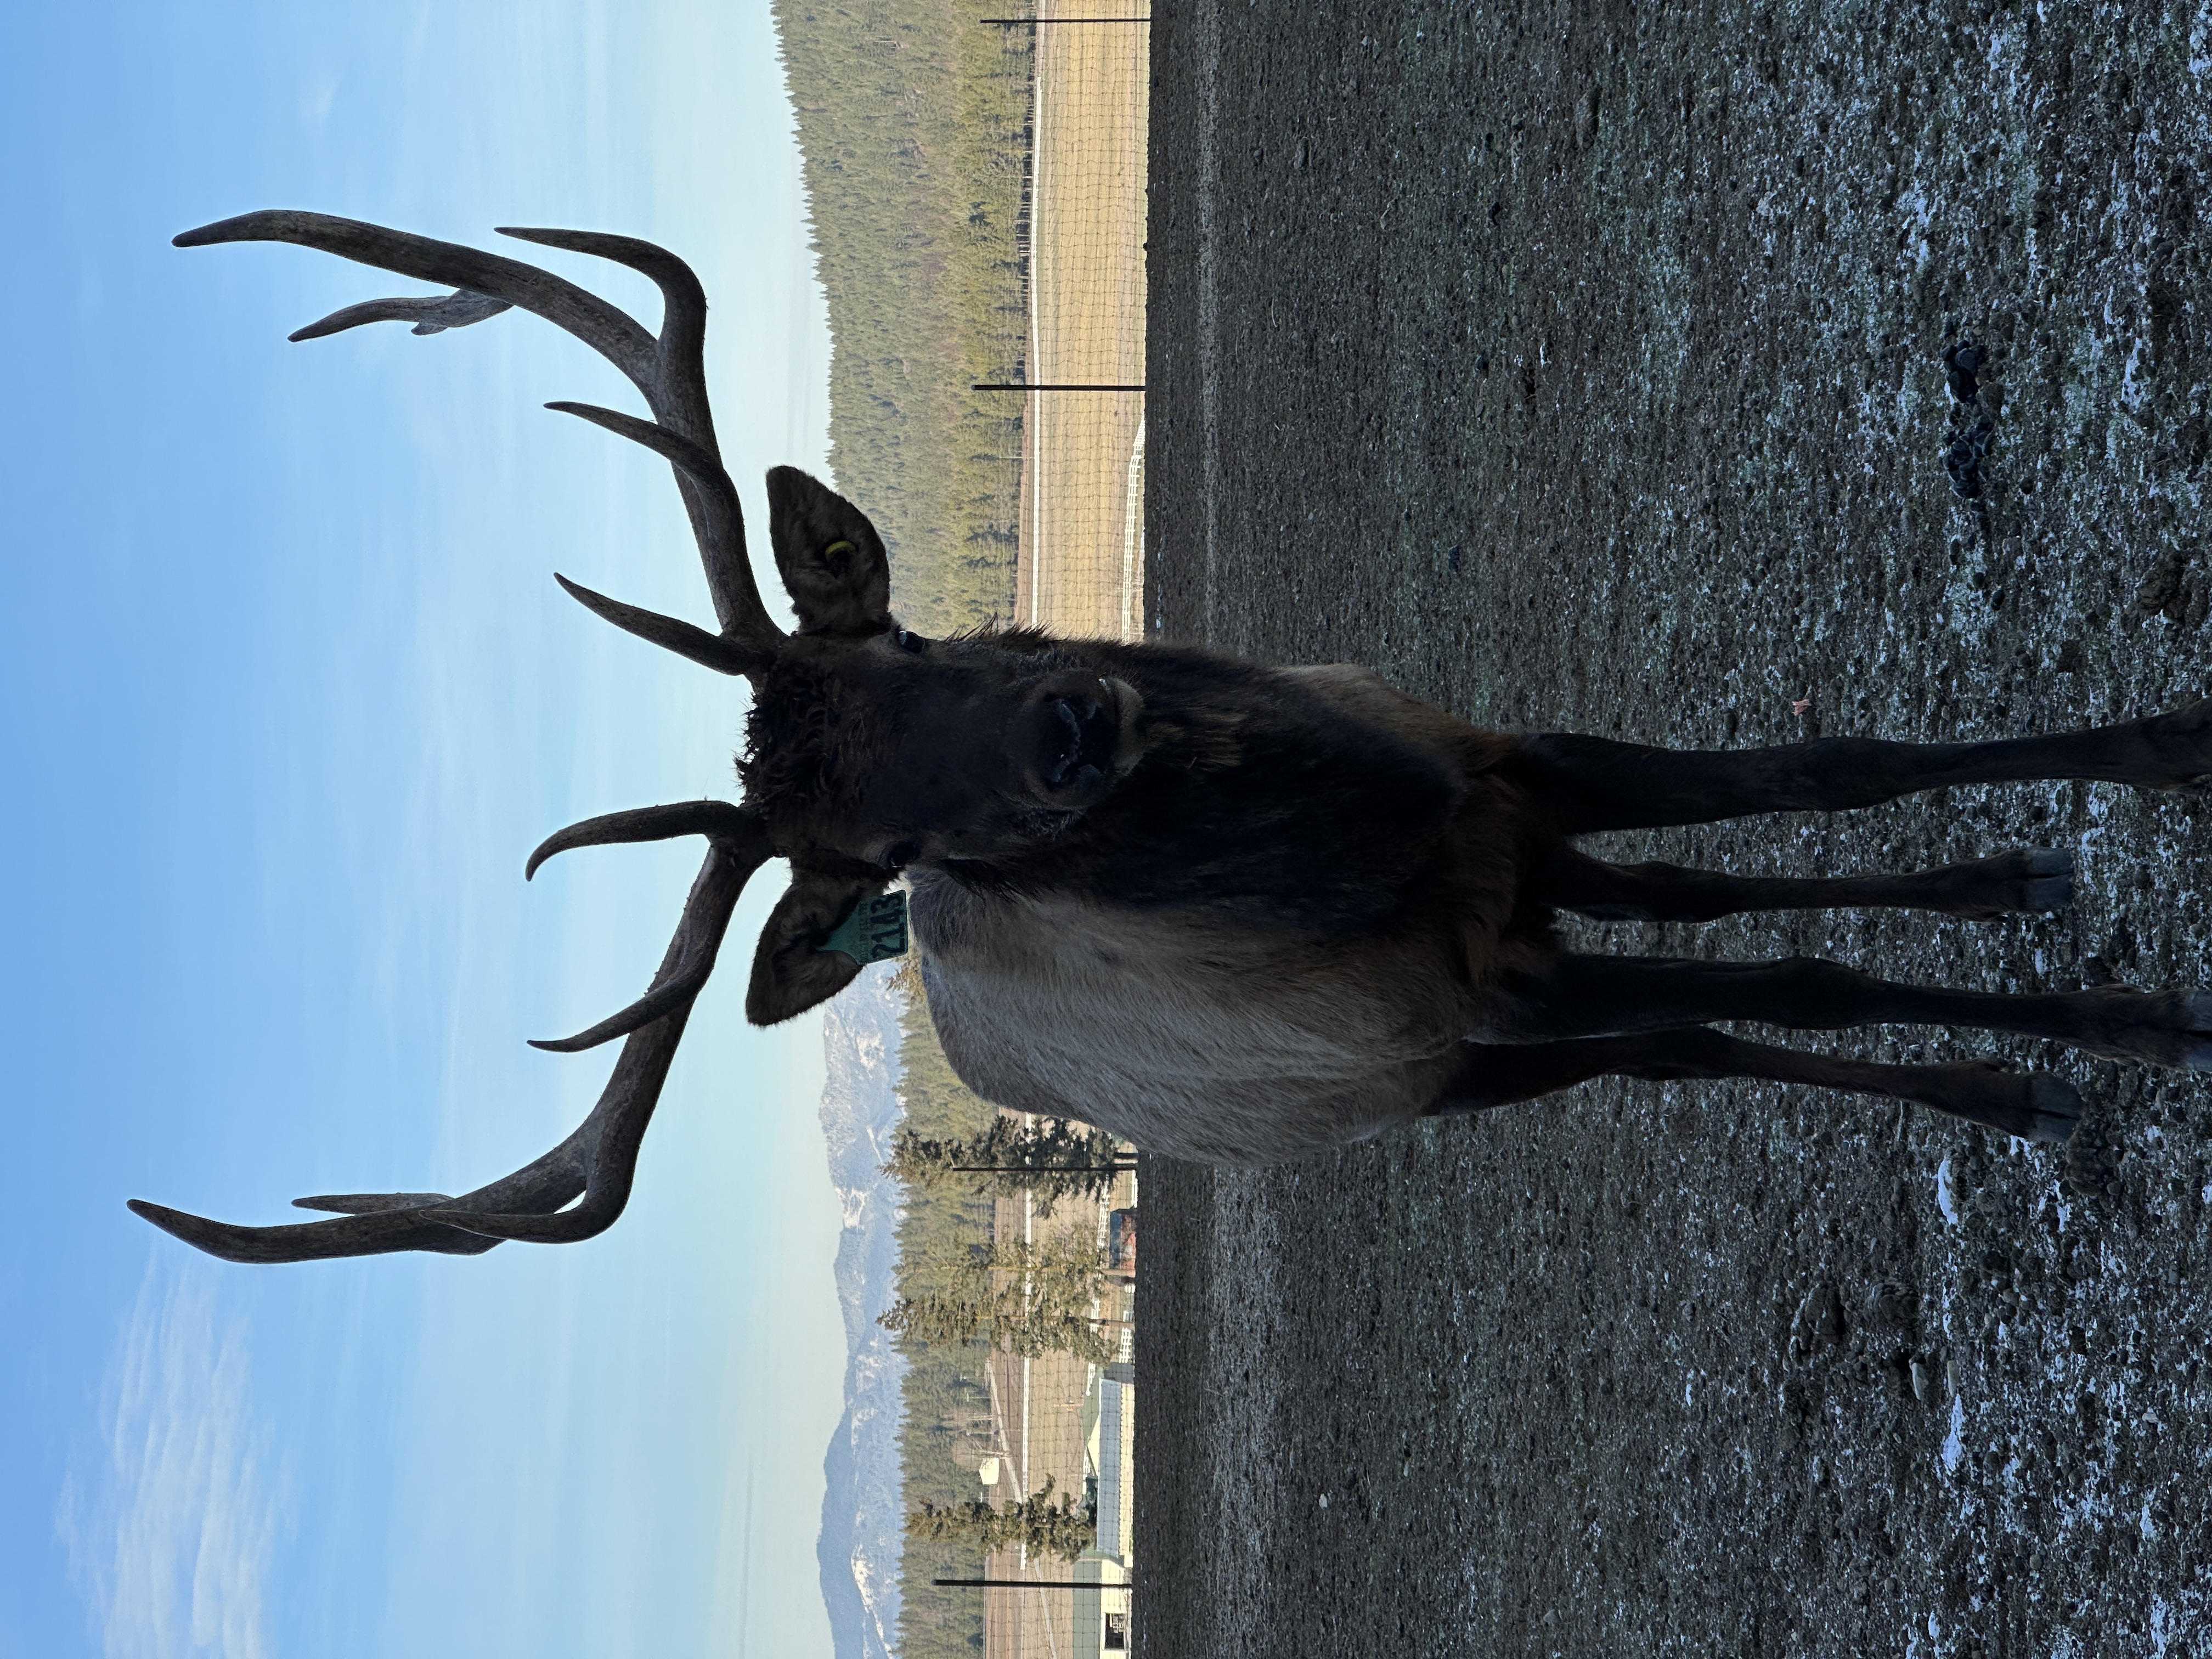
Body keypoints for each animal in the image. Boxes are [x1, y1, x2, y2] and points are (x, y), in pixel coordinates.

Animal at [132, 211, 2212, 1264]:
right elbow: (1767, 994)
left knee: (1688, 904)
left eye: (913, 636)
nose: (1074, 719)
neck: (1345, 850)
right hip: (1457, 1054)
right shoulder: (1469, 996)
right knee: (1683, 1001)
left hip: (1513, 899)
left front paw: (2129, 802)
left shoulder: (1498, 767)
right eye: (891, 859)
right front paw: (2042, 1082)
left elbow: (1816, 776)